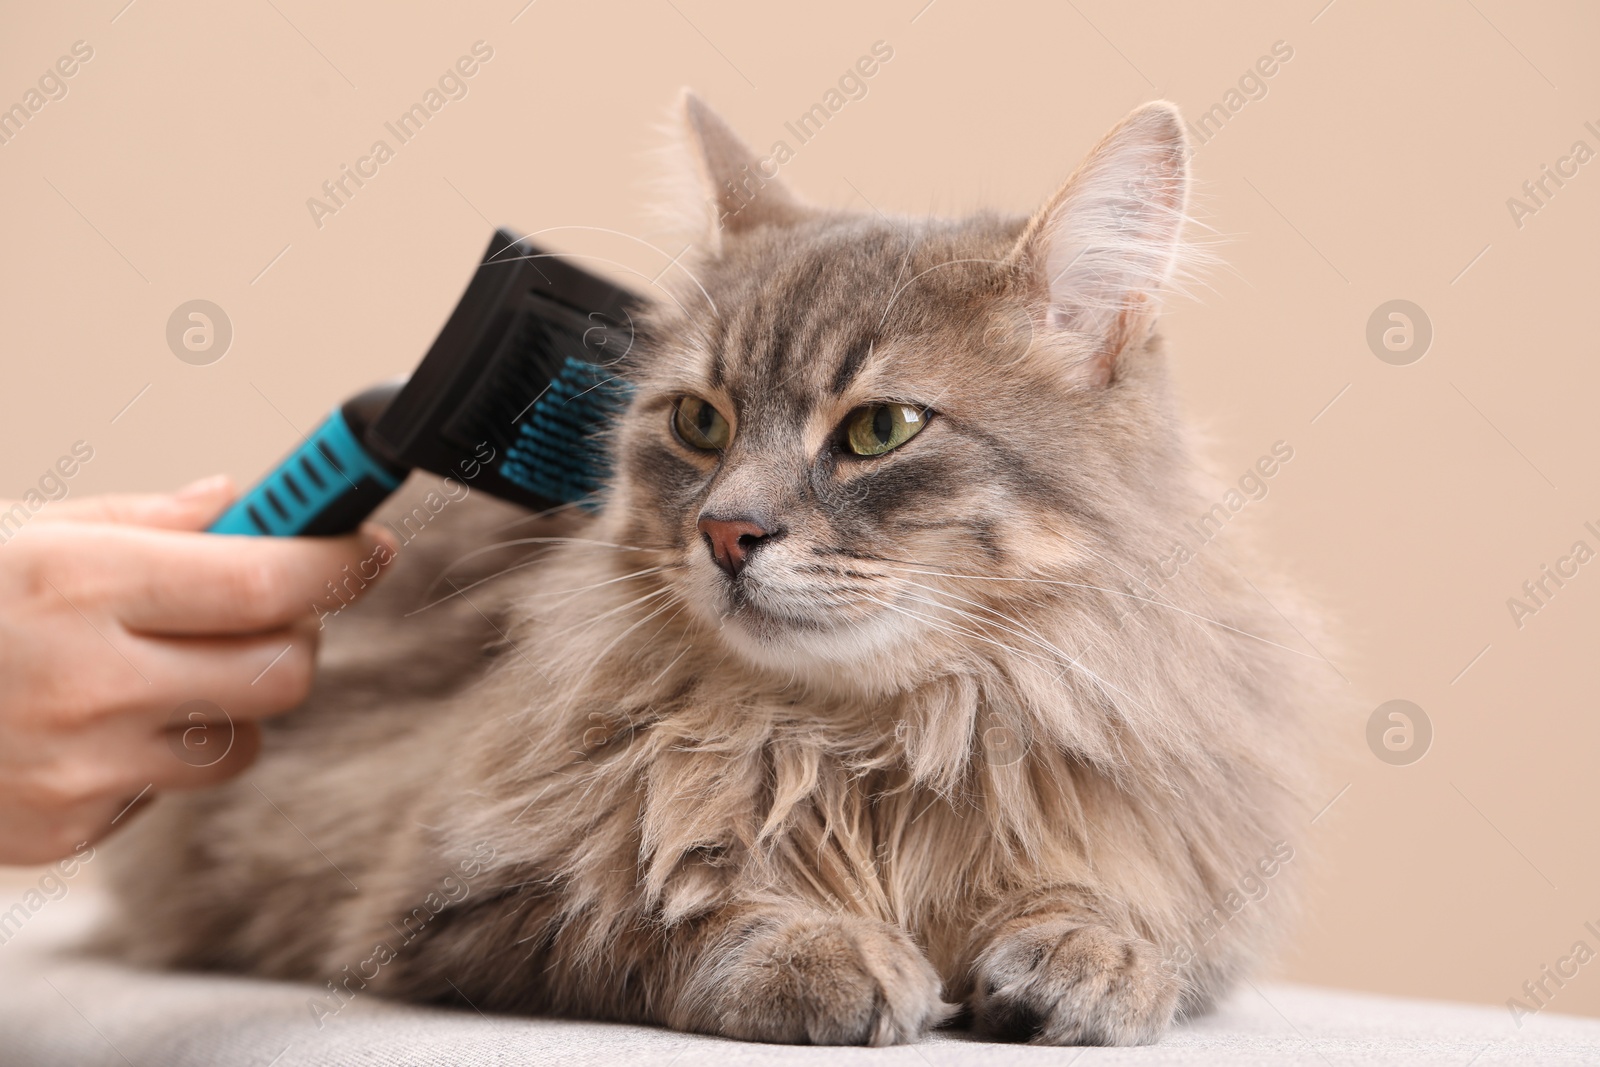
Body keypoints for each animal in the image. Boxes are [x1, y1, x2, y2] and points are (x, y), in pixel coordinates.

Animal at [100, 95, 1331, 1049]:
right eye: (700, 421)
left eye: (880, 429)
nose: (730, 531)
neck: (871, 739)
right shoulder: (434, 893)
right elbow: (662, 907)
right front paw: (823, 953)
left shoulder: (1190, 869)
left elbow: (1125, 903)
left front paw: (1083, 952)